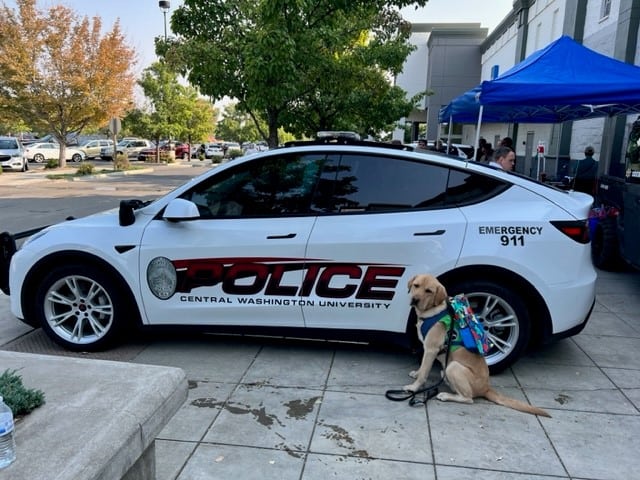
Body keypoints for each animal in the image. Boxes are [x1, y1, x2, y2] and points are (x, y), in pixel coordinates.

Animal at [404, 274, 552, 416]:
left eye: (429, 291)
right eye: (416, 285)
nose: (415, 300)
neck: (431, 311)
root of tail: (486, 388)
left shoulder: (431, 349)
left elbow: (424, 372)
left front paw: (413, 387)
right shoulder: (427, 349)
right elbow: (422, 368)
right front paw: (416, 374)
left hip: (453, 367)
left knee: (468, 398)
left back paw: (446, 395)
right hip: (447, 369)